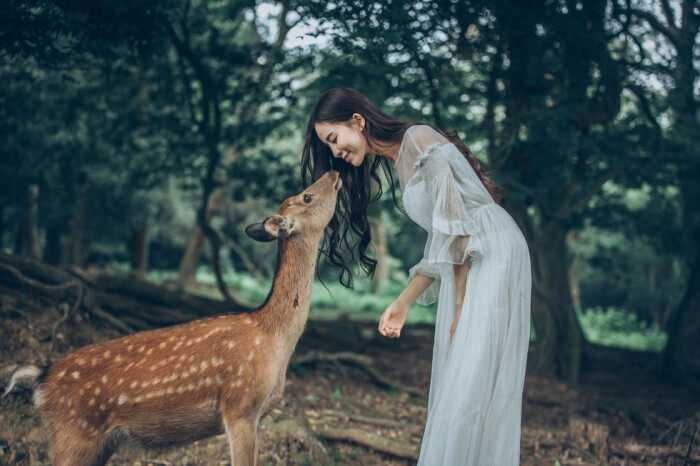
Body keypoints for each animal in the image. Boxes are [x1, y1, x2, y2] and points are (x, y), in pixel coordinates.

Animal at [4, 169, 344, 464]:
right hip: (73, 433)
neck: (273, 337)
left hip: (99, 442)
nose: (334, 172)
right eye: (307, 196)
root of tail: (41, 376)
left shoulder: (257, 415)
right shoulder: (240, 406)